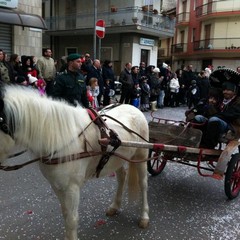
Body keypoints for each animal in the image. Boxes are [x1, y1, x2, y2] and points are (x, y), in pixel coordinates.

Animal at [0, 85, 149, 240]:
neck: (60, 138)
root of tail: (133, 107)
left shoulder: (72, 188)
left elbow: (71, 219)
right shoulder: (58, 186)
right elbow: (66, 215)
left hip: (141, 155)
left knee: (143, 184)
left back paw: (144, 216)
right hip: (117, 158)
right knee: (121, 177)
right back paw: (115, 205)